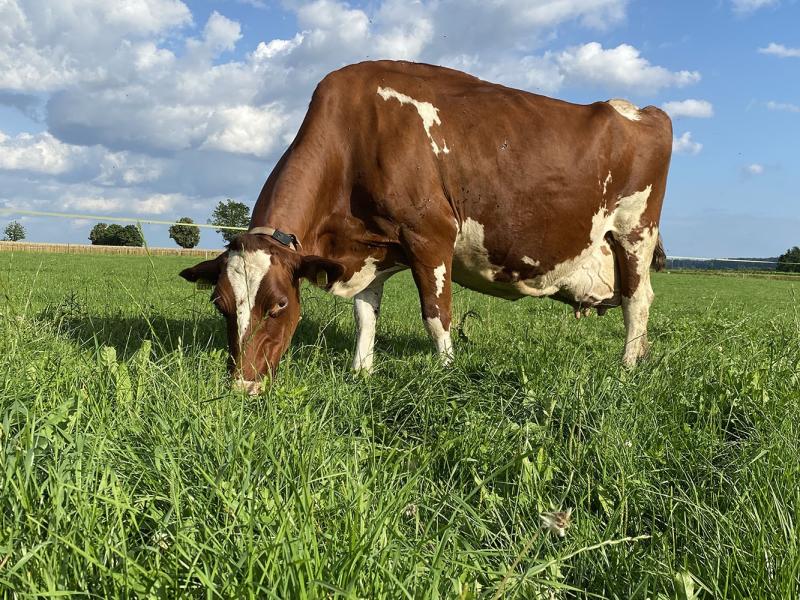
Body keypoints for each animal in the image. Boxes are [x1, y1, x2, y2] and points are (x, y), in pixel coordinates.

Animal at [180, 58, 668, 392]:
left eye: (279, 306)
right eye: (220, 305)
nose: (243, 386)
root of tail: (639, 110)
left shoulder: (431, 234)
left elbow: (437, 314)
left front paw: (448, 374)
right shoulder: (371, 249)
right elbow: (365, 314)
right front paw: (361, 372)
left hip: (634, 232)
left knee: (637, 300)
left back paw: (627, 366)